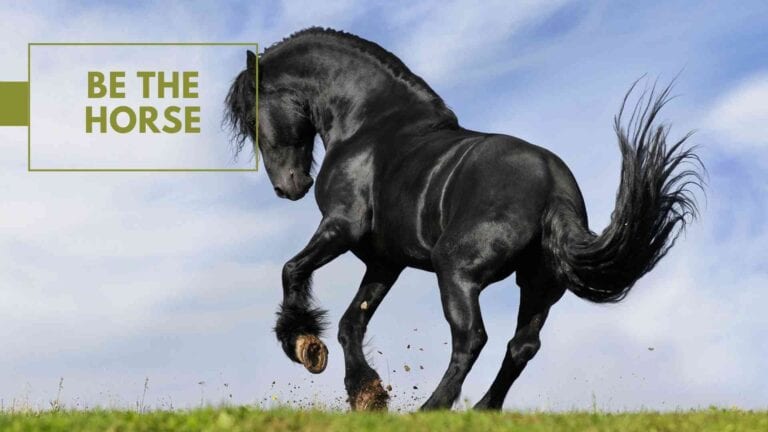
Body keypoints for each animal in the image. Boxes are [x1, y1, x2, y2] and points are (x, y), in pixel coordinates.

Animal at [224, 27, 702, 411]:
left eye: (253, 117)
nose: (289, 187)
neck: (368, 124)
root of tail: (554, 186)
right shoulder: (384, 262)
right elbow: (350, 323)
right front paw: (367, 393)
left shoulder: (341, 228)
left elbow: (292, 271)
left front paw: (304, 345)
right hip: (538, 286)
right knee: (522, 346)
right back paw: (483, 409)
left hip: (455, 270)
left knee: (471, 338)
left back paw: (433, 408)